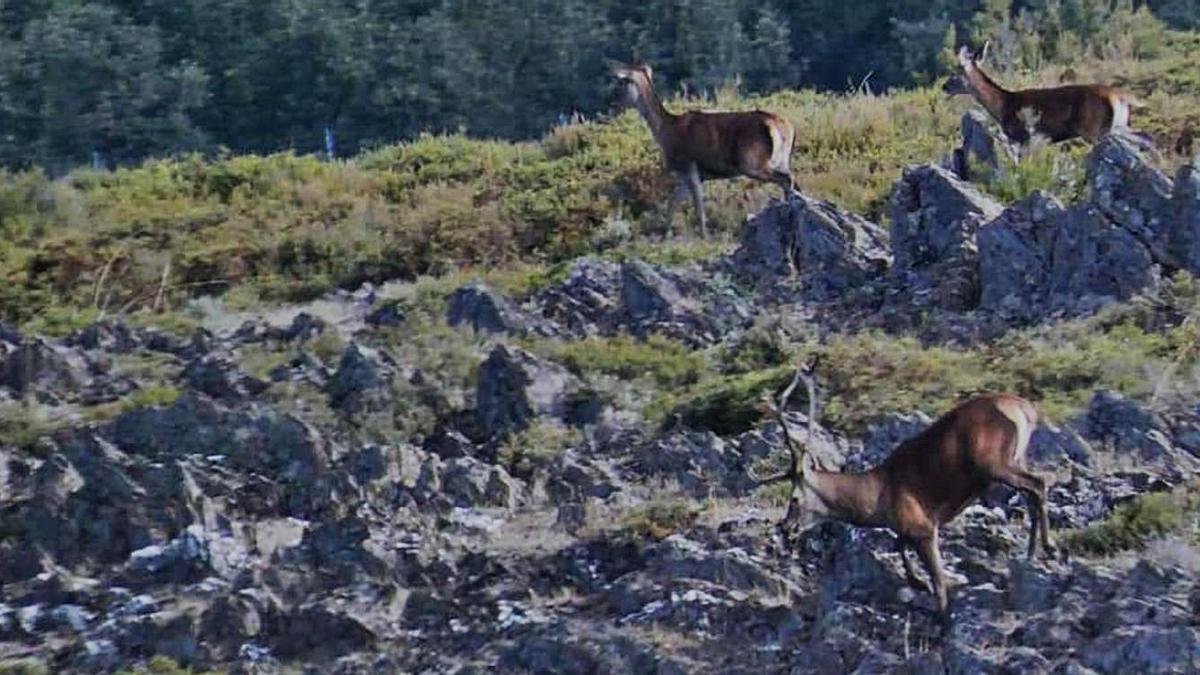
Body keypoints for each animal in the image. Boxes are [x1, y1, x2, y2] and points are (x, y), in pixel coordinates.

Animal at [609, 60, 796, 237]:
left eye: (623, 82)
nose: (616, 105)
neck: (665, 131)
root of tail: (782, 126)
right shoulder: (690, 174)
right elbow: (673, 203)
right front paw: (665, 234)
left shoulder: (690, 165)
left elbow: (698, 207)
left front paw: (704, 237)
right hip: (781, 159)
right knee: (792, 181)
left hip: (752, 162)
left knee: (786, 179)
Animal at [753, 360, 1056, 619]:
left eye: (794, 498)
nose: (785, 527)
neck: (878, 501)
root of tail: (1026, 409)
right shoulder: (914, 524)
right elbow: (899, 545)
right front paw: (917, 582)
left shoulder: (922, 525)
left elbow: (939, 582)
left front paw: (939, 612)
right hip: (1016, 458)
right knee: (1031, 492)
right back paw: (1031, 553)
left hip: (994, 462)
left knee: (1038, 484)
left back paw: (1048, 547)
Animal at [940, 43, 1147, 158]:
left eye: (955, 72)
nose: (944, 86)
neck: (1003, 105)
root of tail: (1118, 96)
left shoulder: (1022, 136)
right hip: (1117, 125)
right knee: (1144, 137)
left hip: (1094, 129)